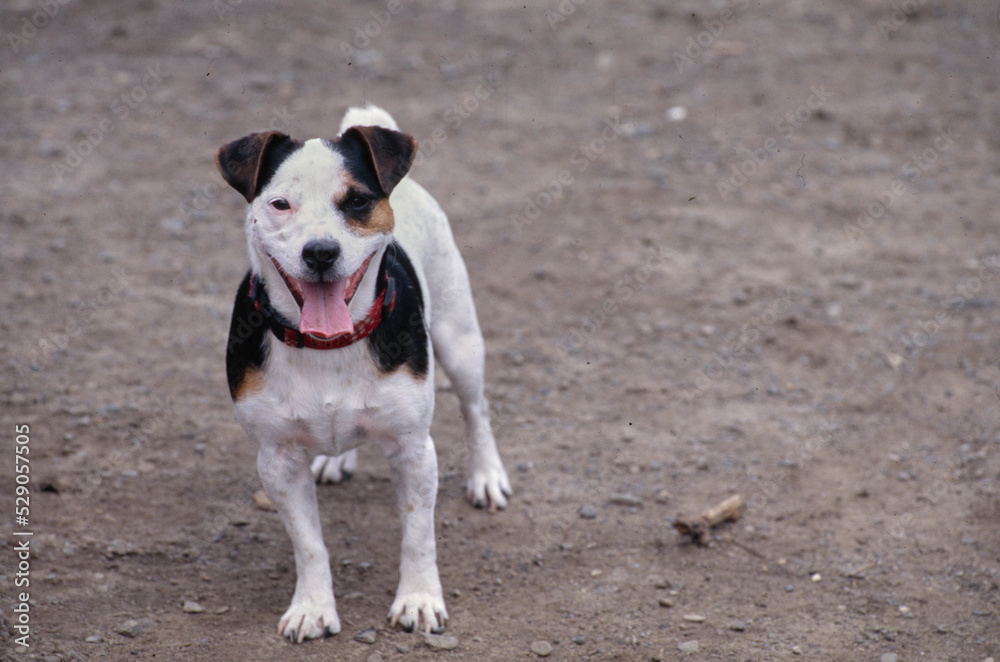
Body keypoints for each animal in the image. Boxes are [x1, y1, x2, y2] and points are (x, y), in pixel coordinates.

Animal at [220, 105, 516, 644]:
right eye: (280, 204)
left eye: (356, 200)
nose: (320, 252)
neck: (329, 345)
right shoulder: (277, 460)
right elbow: (310, 545)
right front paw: (313, 607)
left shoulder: (414, 449)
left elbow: (418, 534)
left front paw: (418, 600)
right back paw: (335, 460)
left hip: (460, 340)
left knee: (476, 409)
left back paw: (487, 476)